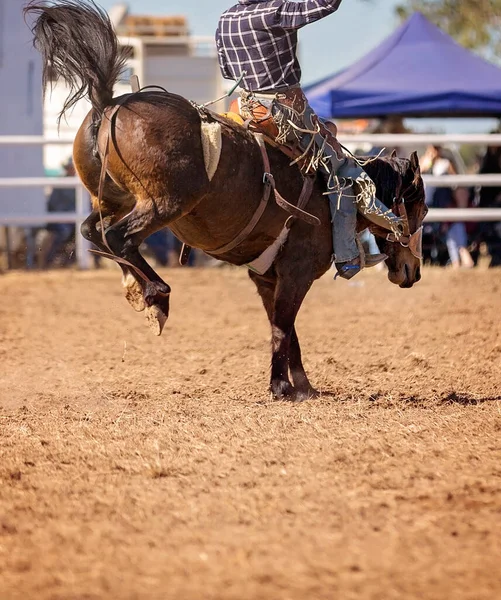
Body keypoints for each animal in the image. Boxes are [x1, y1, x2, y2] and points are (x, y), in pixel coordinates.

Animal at [25, 1, 426, 404]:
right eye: (421, 208)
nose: (413, 272)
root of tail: (111, 105)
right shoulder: (296, 271)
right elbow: (283, 327)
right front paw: (283, 387)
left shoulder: (267, 276)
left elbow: (286, 330)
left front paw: (302, 387)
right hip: (165, 203)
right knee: (118, 238)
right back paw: (157, 296)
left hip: (113, 199)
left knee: (93, 231)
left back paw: (137, 289)